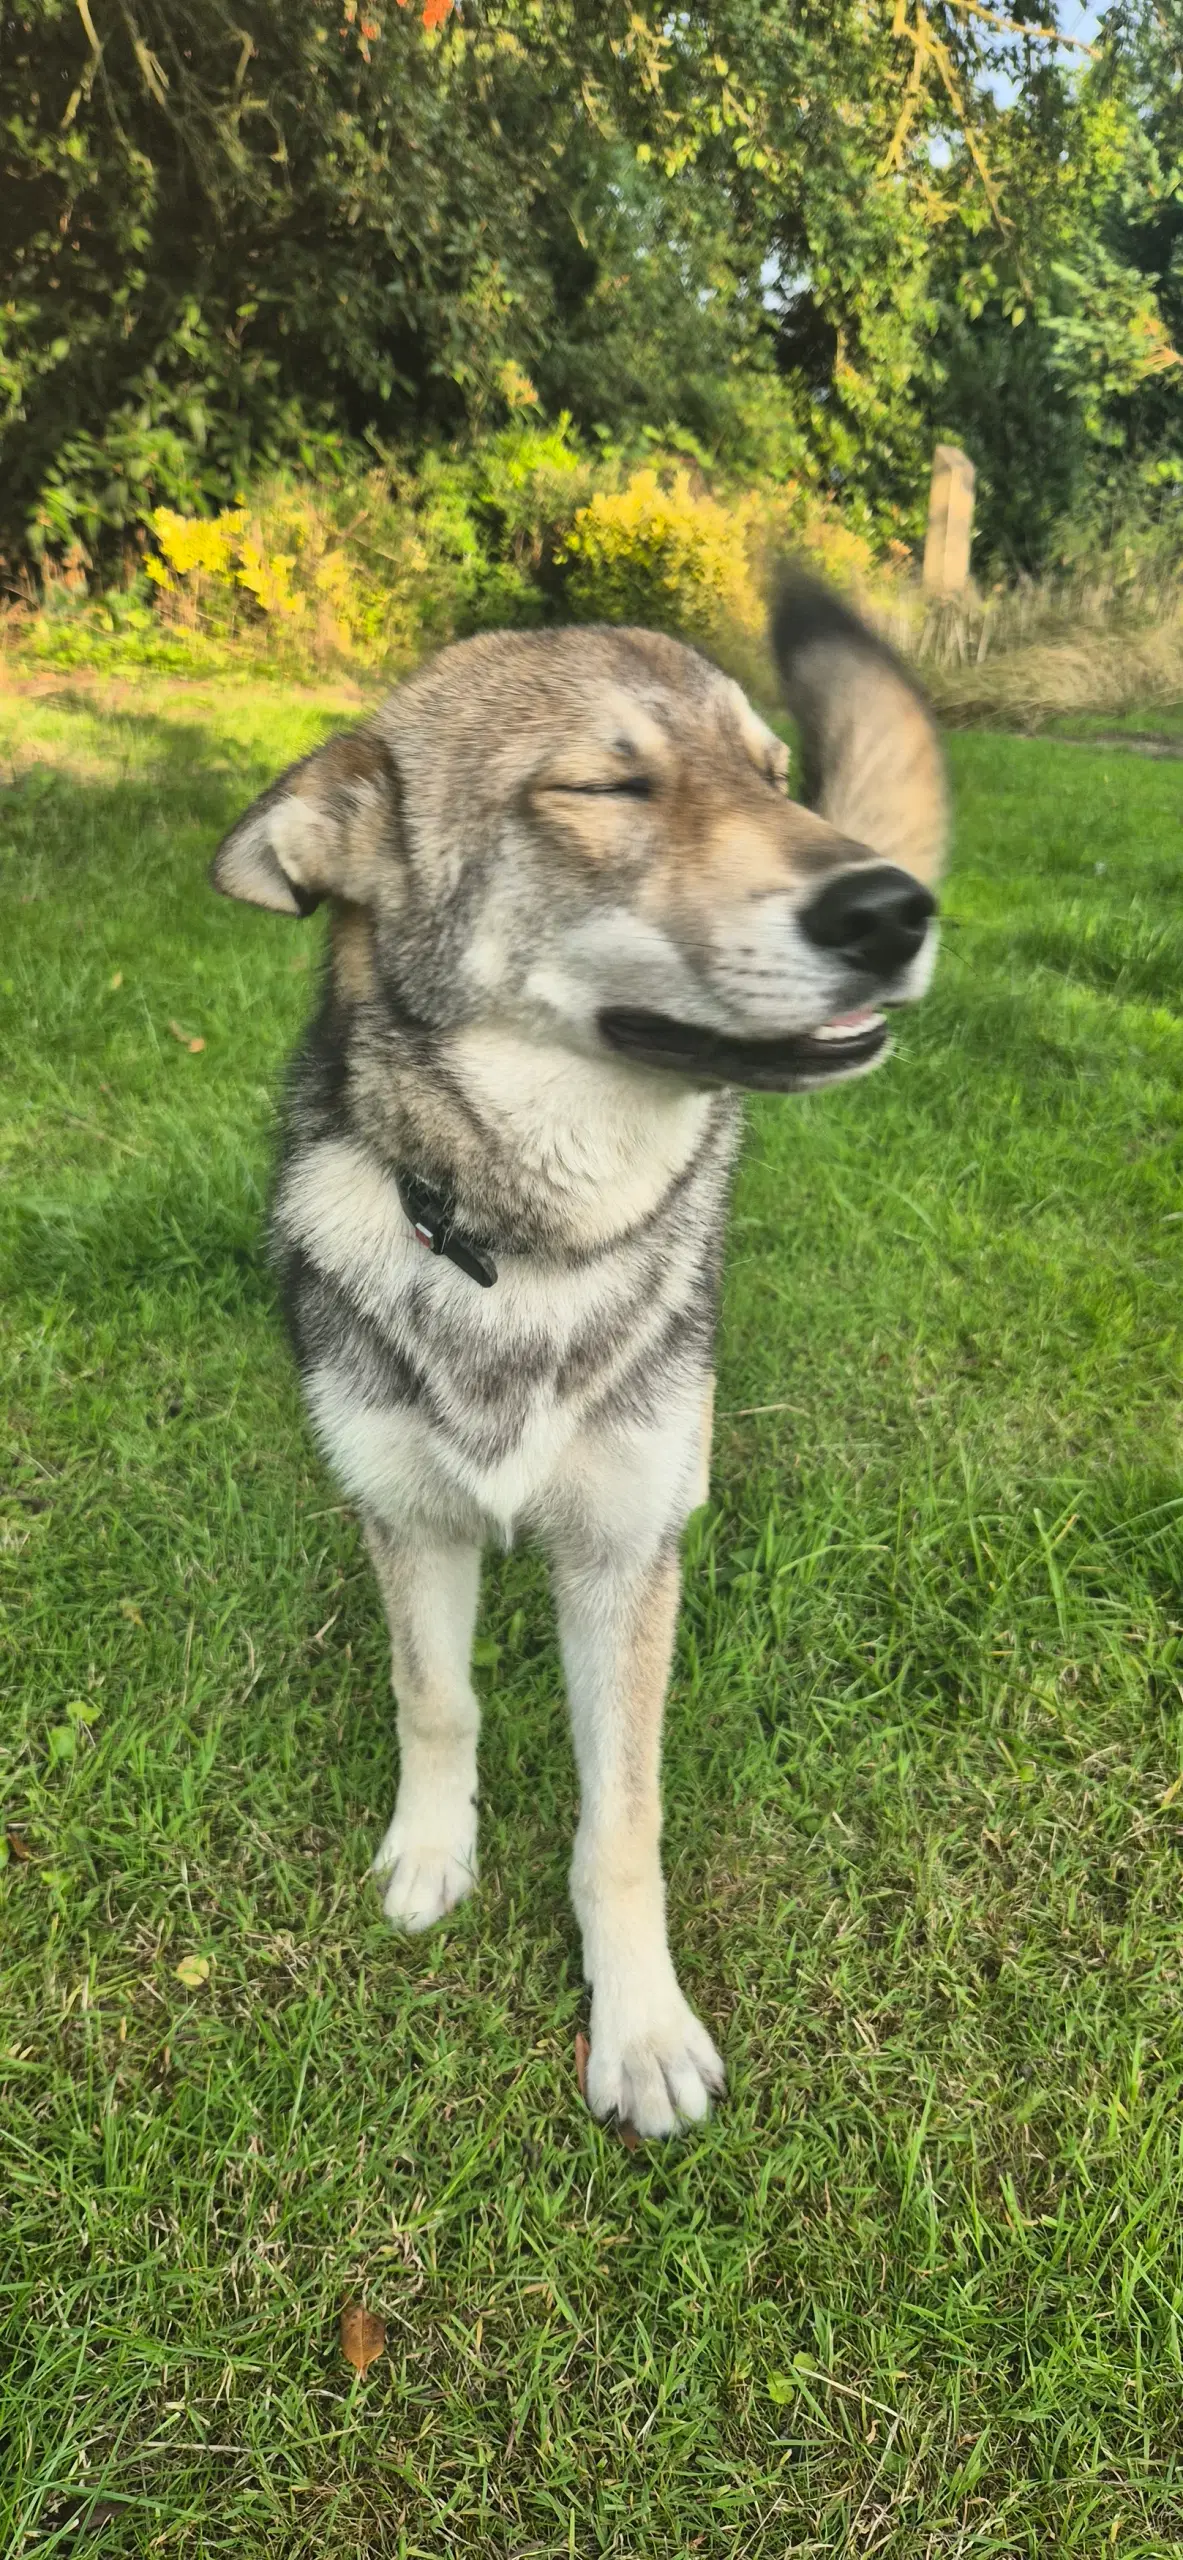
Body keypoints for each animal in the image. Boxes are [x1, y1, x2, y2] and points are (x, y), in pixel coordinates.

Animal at [212, 576, 947, 2140]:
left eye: (773, 777)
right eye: (606, 787)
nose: (892, 908)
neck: (518, 1243)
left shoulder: (619, 1557)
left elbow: (623, 1817)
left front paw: (641, 2029)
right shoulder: (406, 1515)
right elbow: (433, 1697)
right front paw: (431, 1855)